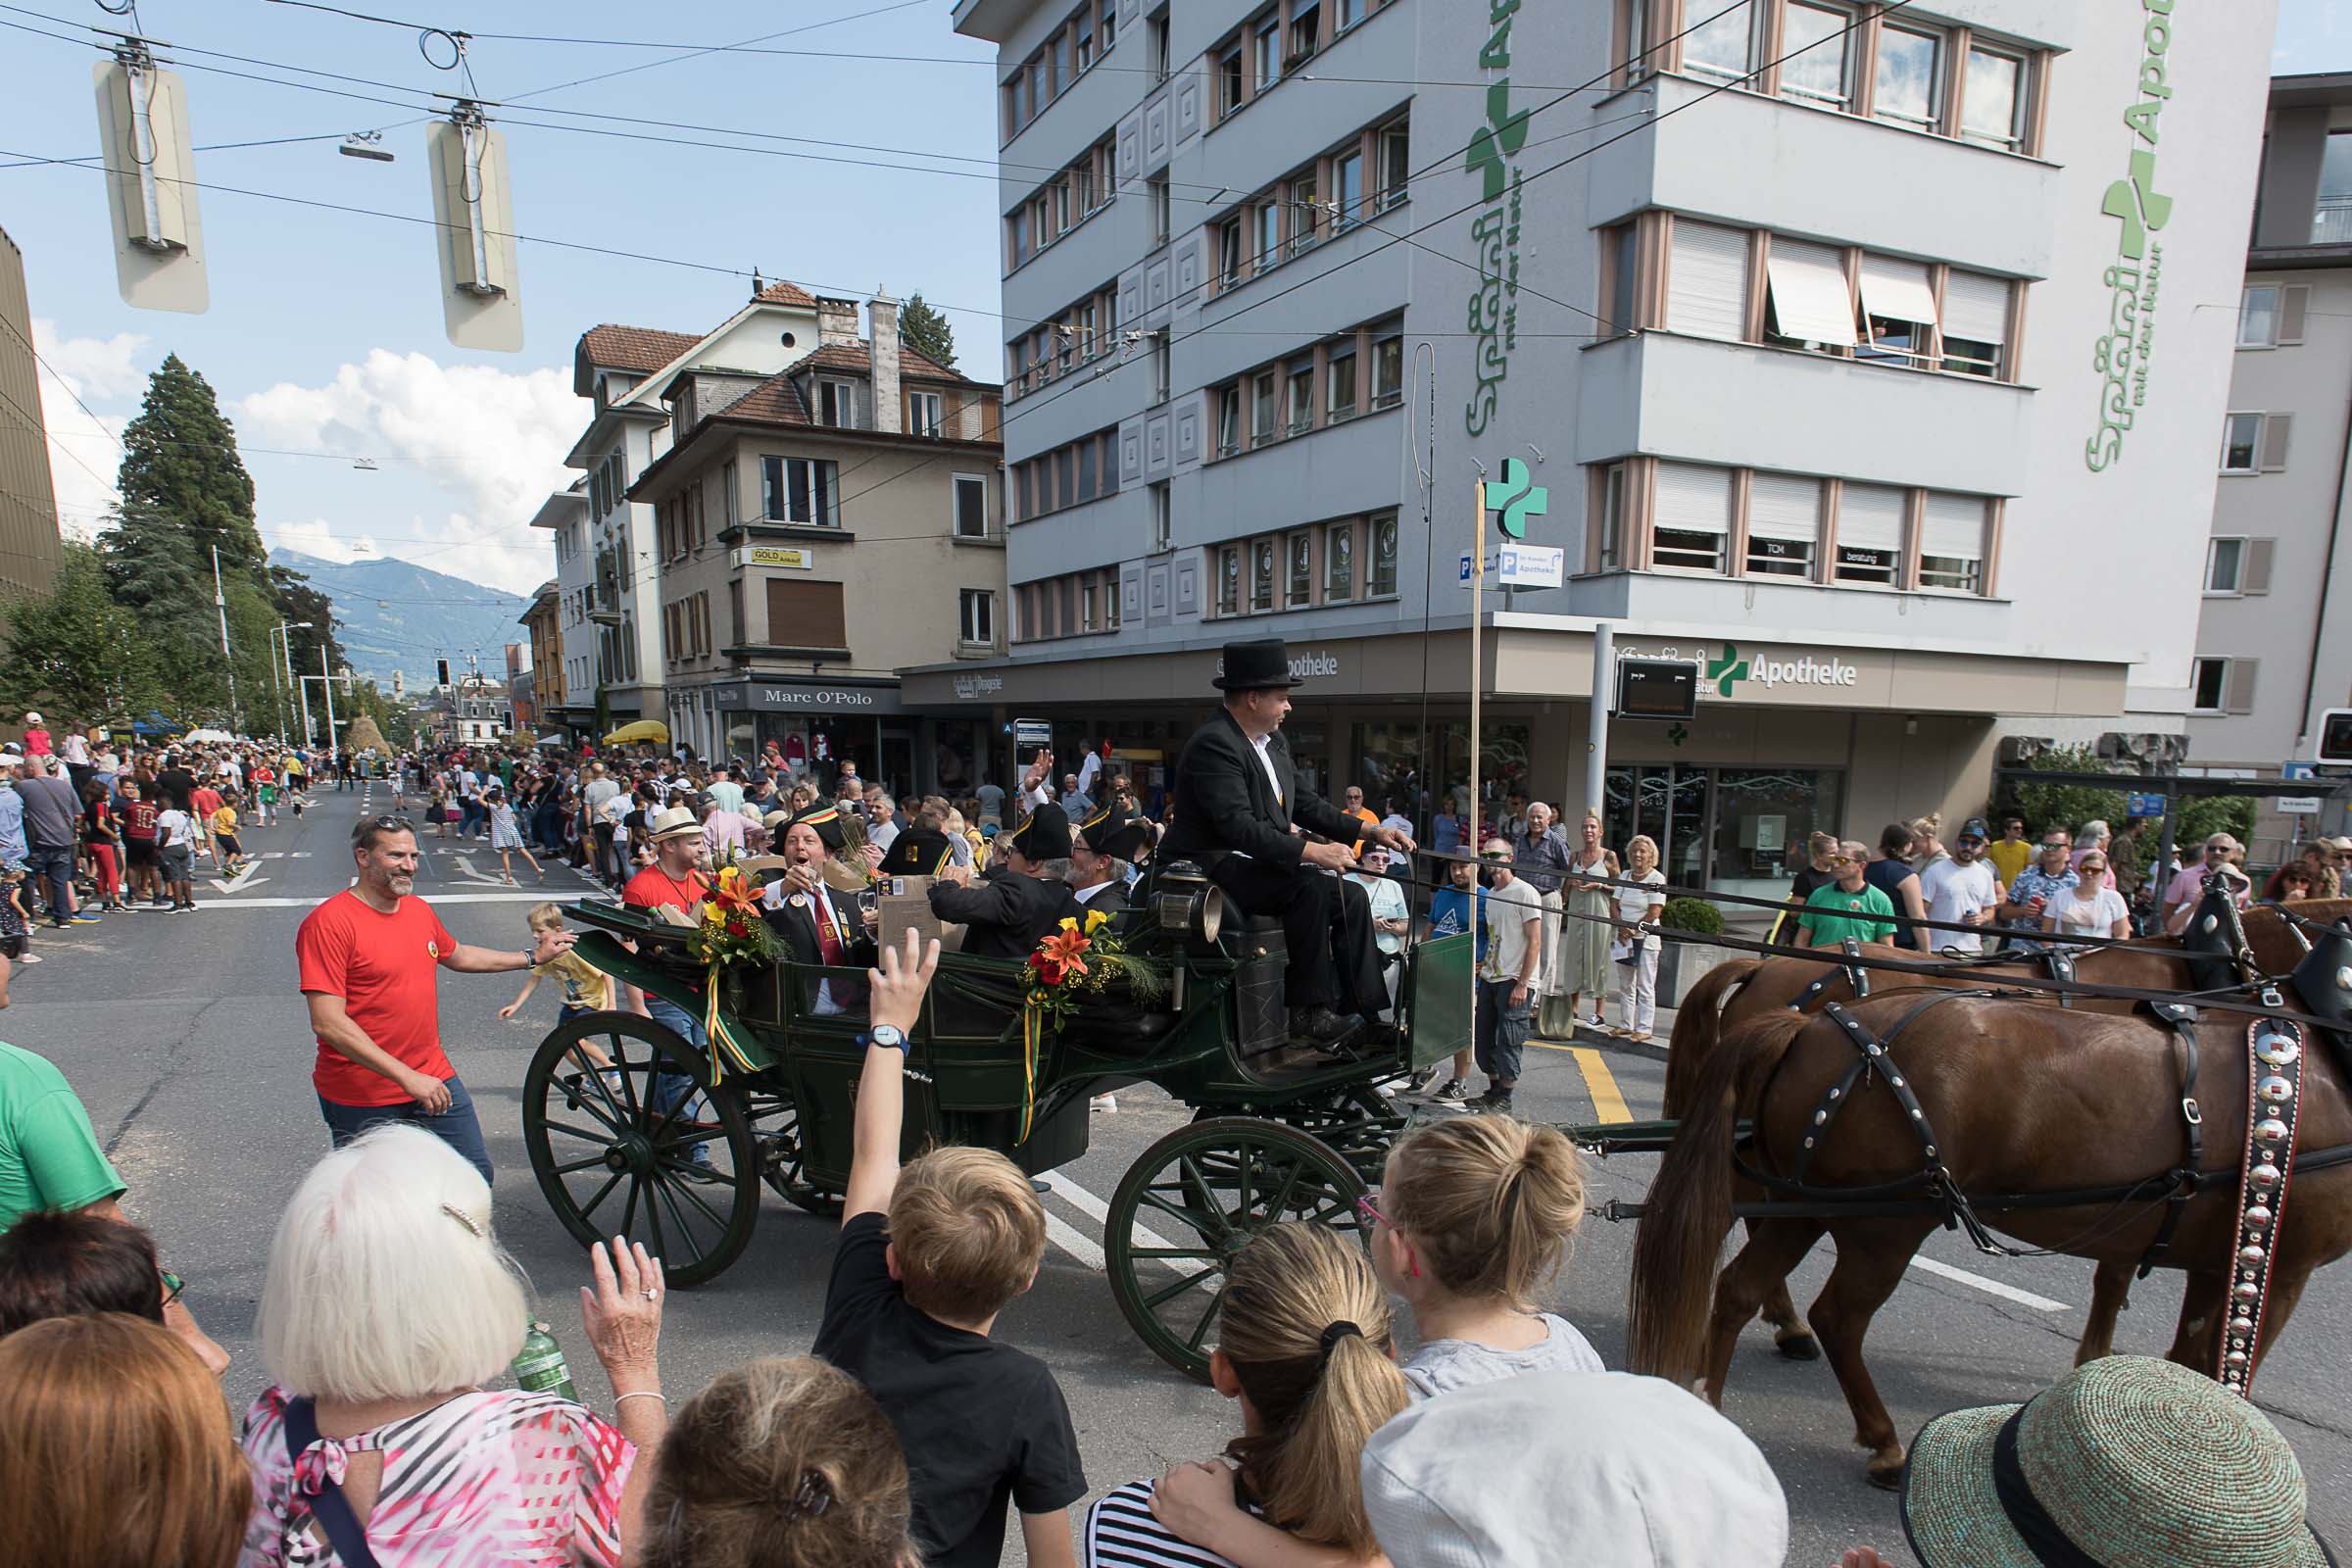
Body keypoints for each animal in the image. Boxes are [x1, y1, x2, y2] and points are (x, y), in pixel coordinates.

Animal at [1637, 992, 2352, 1486]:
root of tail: (1808, 1026)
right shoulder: (2279, 1267)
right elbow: (2226, 1364)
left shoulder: (2216, 1262)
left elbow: (2191, 1359)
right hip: (1884, 1226)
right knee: (1837, 1317)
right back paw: (1884, 1442)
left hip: (1804, 1206)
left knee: (1739, 1291)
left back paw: (1711, 1411)